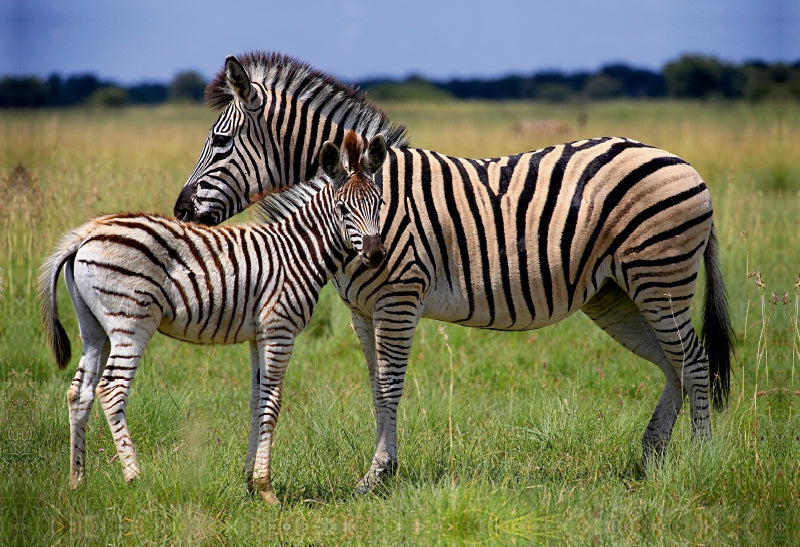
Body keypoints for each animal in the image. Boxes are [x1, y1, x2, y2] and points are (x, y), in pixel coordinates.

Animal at [39, 131, 388, 504]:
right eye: (343, 208)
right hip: (130, 321)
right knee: (111, 389)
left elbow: (256, 400)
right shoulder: (279, 329)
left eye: (380, 203)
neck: (298, 251)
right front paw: (267, 489)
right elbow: (273, 402)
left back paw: (78, 480)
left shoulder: (258, 335)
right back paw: (134, 477)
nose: (376, 254)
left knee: (80, 391)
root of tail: (85, 235)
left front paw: (249, 483)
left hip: (94, 328)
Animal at [173, 53, 734, 493]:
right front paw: (381, 469)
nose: (180, 210)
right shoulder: (360, 310)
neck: (359, 199)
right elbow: (374, 385)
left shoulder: (398, 298)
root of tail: (684, 163)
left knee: (695, 361)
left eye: (220, 141)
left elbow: (390, 385)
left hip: (660, 281)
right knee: (672, 364)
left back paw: (702, 459)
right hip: (616, 294)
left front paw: (378, 474)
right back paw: (652, 456)